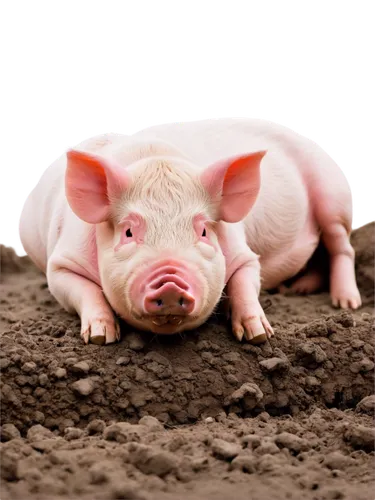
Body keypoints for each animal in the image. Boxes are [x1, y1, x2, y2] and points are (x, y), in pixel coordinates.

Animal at [17, 117, 362, 346]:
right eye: (128, 232)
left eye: (204, 231)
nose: (170, 282)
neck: (154, 159)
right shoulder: (60, 264)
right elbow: (83, 291)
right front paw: (102, 337)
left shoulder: (245, 253)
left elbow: (245, 282)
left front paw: (259, 335)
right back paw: (299, 290)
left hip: (334, 197)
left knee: (341, 247)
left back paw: (346, 304)